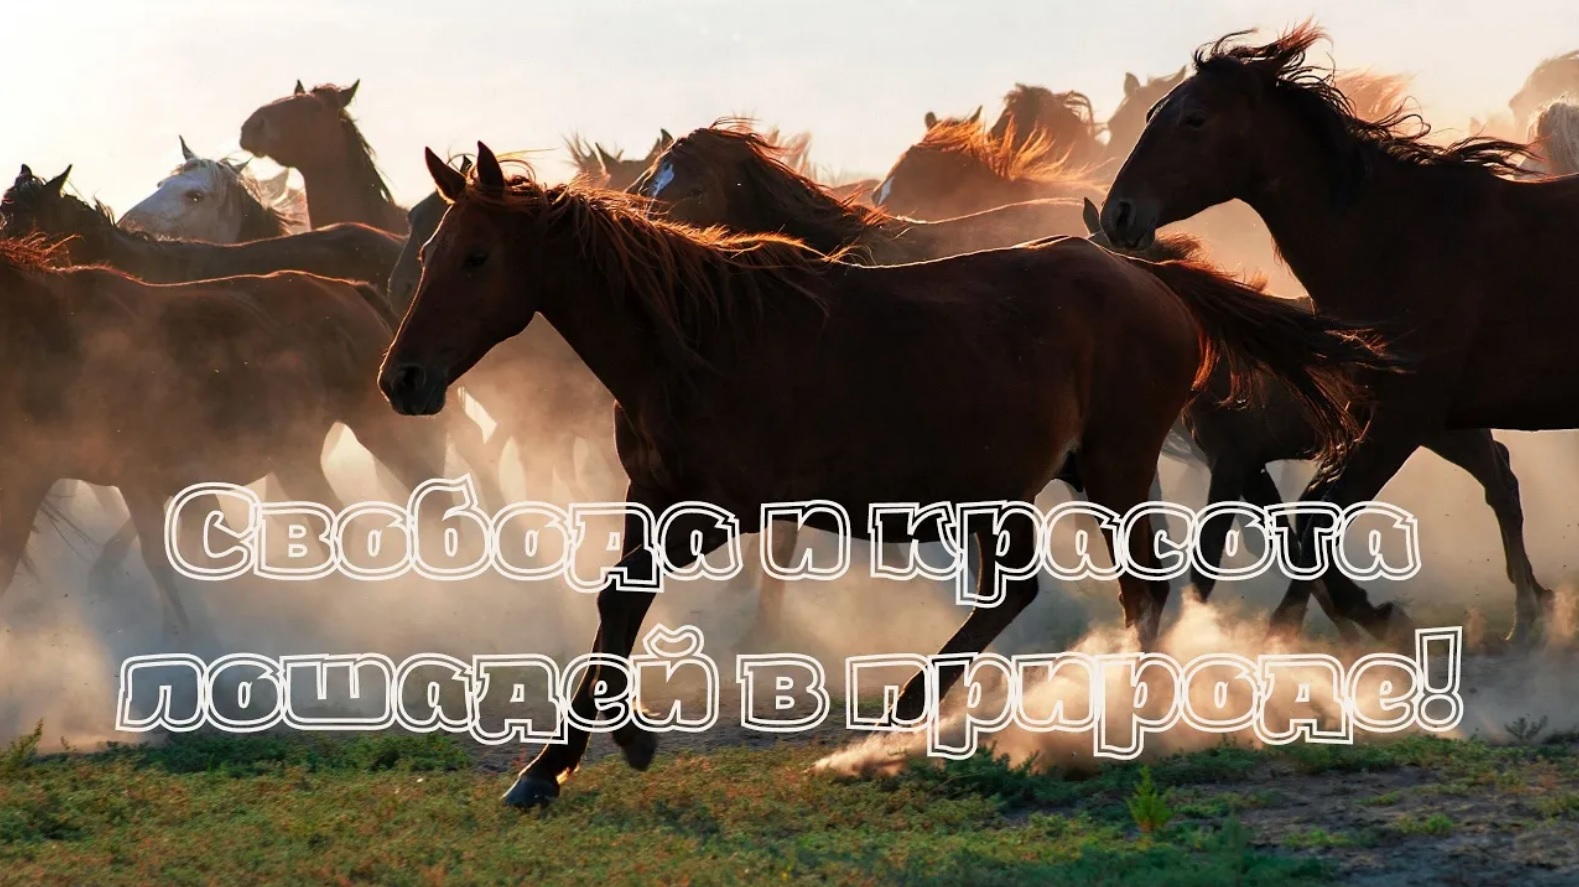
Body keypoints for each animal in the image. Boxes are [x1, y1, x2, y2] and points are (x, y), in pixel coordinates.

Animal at [0, 235, 446, 637]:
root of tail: (351, 291)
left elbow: (160, 558)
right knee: (336, 524)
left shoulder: (134, 478)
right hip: (296, 458)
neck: (59, 338)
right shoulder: (34, 476)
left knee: (426, 497)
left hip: (373, 427)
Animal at [379, 143, 1395, 807]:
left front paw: (573, 755)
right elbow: (612, 605)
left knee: (1139, 585)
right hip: (1020, 484)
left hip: (1112, 464)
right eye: (432, 252)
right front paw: (573, 755)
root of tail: (1145, 276)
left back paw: (1123, 720)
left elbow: (624, 601)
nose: (404, 379)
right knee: (1026, 588)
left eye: (476, 256)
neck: (697, 342)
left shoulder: (716, 511)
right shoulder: (652, 495)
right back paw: (917, 707)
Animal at [1101, 22, 1577, 645]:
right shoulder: (1375, 421)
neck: (1398, 240)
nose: (1118, 213)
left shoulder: (1401, 418)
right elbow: (1309, 520)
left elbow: (1310, 527)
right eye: (1154, 112)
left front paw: (1357, 622)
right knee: (1499, 479)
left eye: (1195, 119)